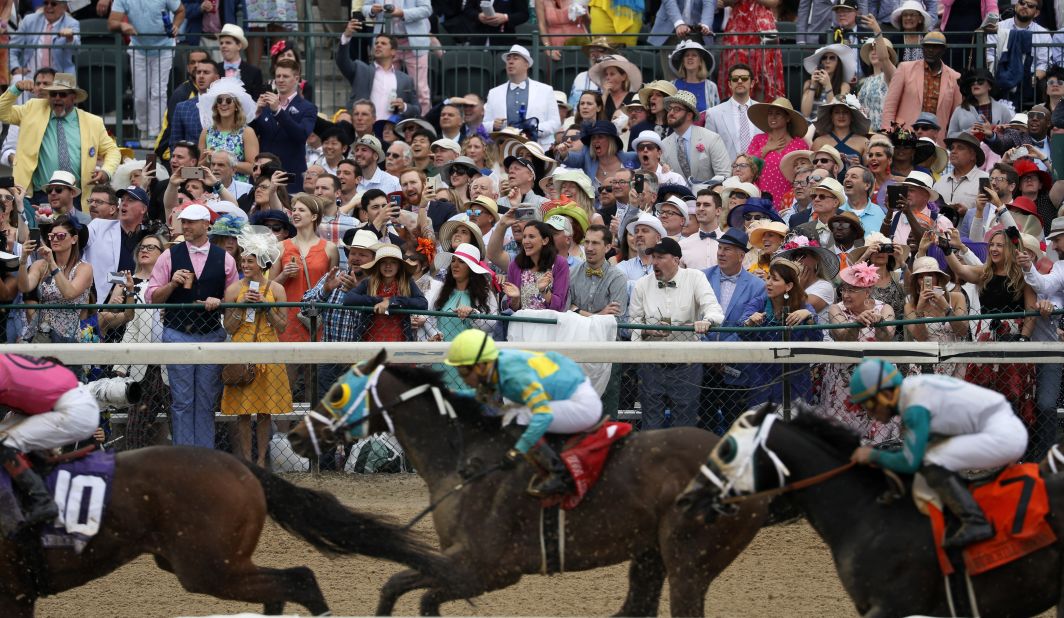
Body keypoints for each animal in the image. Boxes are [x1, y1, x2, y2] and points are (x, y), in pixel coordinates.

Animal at [0, 446, 453, 612]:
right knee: (283, 587)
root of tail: (236, 462)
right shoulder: (19, 593)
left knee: (298, 579)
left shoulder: (14, 591)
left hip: (209, 567)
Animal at [287, 348, 770, 612]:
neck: (461, 459)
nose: (294, 435)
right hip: (650, 553)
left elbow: (401, 587)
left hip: (690, 560)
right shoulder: (463, 568)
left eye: (336, 392)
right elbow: (414, 593)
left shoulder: (486, 568)